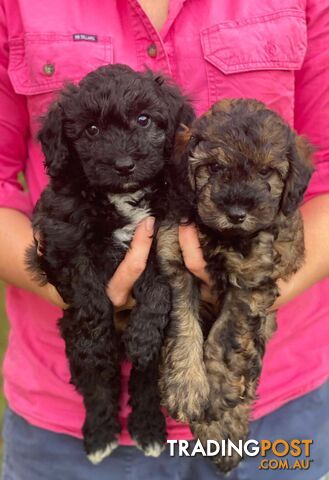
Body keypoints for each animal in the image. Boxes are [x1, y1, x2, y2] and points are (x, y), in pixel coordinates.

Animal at [27, 65, 195, 464]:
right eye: (91, 130)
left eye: (144, 119)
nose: (123, 165)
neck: (120, 198)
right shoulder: (65, 240)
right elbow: (88, 294)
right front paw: (96, 340)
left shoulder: (164, 233)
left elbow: (158, 286)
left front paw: (143, 334)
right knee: (97, 384)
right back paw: (101, 435)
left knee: (145, 381)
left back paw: (147, 429)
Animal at [159, 98, 312, 472]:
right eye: (214, 167)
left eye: (265, 172)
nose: (237, 212)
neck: (222, 236)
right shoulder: (175, 260)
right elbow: (185, 325)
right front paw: (186, 386)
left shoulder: (250, 280)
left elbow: (225, 339)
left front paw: (214, 392)